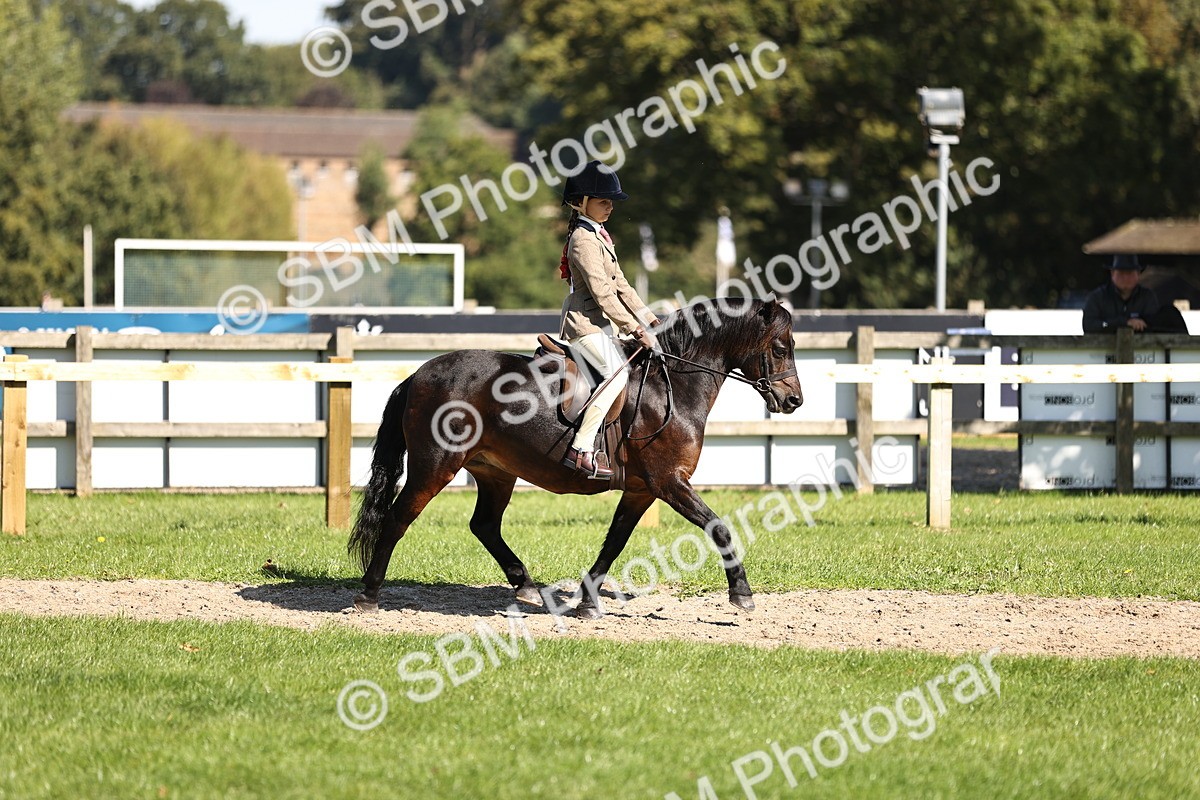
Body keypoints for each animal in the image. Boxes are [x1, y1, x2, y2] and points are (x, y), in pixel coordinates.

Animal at [348, 297, 803, 618]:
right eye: (781, 348)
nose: (794, 401)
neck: (670, 384)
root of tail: (417, 374)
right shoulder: (669, 482)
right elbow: (718, 527)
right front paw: (741, 593)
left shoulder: (642, 490)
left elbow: (615, 542)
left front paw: (586, 602)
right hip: (435, 466)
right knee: (397, 519)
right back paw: (369, 595)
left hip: (495, 471)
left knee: (484, 526)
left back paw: (526, 586)